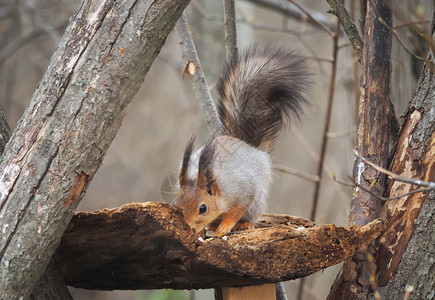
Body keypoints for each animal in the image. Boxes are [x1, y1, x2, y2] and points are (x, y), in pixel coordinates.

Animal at [174, 45, 310, 237]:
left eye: (203, 208)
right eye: (177, 204)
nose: (188, 227)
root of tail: (249, 146)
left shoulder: (244, 190)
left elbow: (237, 210)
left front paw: (225, 226)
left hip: (257, 202)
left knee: (250, 214)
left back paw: (244, 224)